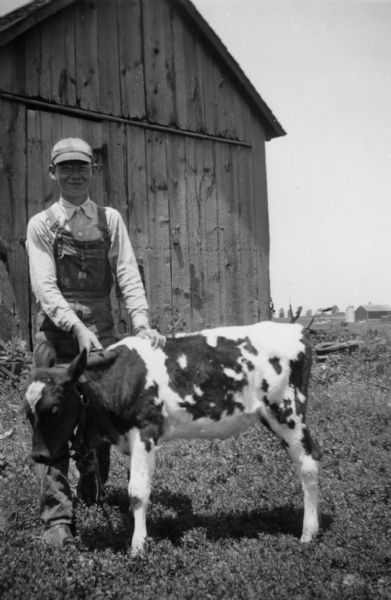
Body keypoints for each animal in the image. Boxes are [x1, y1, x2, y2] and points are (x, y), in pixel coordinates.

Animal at [25, 322, 322, 556]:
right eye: (27, 413)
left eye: (54, 408)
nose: (39, 456)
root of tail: (296, 329)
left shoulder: (145, 432)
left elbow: (137, 492)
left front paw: (138, 546)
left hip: (287, 412)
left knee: (308, 464)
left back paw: (309, 532)